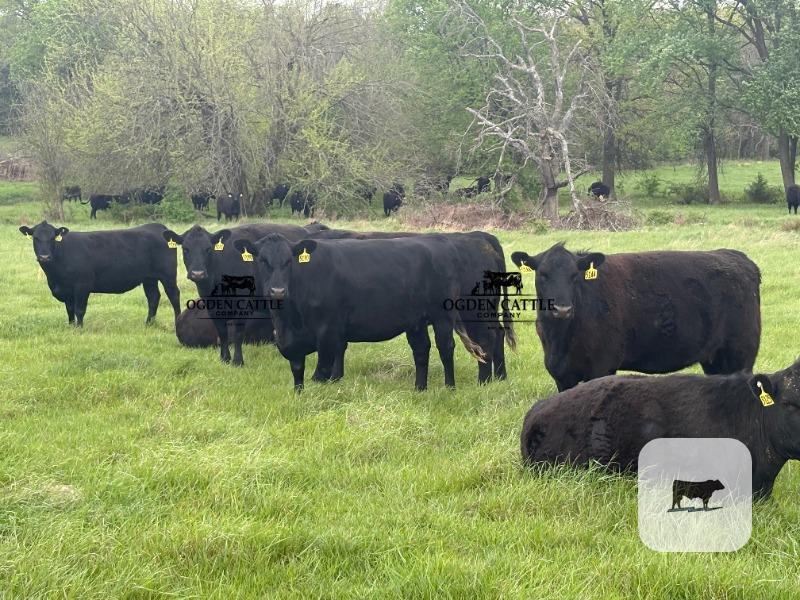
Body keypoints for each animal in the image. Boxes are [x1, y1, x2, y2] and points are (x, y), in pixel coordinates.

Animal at [19, 221, 180, 326]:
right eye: (35, 238)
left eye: (53, 238)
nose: (44, 257)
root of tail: (156, 226)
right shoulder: (65, 290)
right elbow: (70, 310)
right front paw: (71, 326)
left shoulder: (82, 286)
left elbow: (79, 310)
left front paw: (79, 328)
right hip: (149, 278)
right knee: (153, 297)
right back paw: (148, 323)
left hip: (168, 275)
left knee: (174, 295)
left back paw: (177, 321)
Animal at [161, 223, 322, 365]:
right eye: (185, 249)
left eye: (207, 249)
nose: (197, 273)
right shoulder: (212, 306)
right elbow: (222, 332)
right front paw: (224, 359)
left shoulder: (243, 305)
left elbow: (238, 333)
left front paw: (238, 361)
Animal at [233, 234, 488, 390]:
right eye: (262, 260)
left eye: (289, 261)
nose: (277, 291)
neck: (288, 321)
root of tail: (440, 240)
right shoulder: (291, 342)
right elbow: (298, 373)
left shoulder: (327, 332)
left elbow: (321, 373)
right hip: (415, 320)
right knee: (421, 350)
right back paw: (419, 389)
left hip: (442, 315)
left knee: (445, 347)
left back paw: (449, 387)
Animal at [510, 243, 761, 391]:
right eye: (543, 274)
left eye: (575, 275)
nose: (562, 309)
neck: (559, 338)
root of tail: (736, 256)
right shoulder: (561, 375)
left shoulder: (601, 367)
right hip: (715, 359)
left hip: (741, 354)